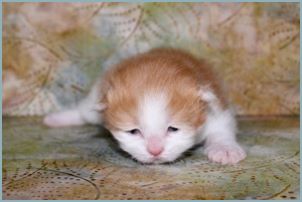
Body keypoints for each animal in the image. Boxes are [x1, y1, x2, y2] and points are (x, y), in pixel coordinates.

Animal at [44, 48, 245, 164]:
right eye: (134, 132)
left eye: (173, 129)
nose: (155, 151)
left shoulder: (214, 108)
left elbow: (222, 127)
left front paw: (225, 149)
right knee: (84, 111)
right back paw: (57, 118)